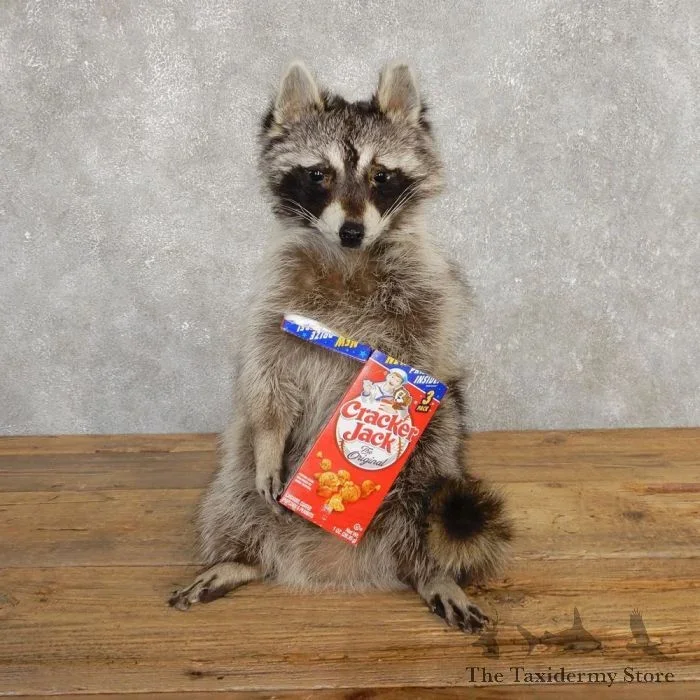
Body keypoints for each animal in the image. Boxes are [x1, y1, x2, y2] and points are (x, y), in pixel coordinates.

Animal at [169, 62, 513, 633]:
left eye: (381, 175)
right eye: (318, 174)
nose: (352, 230)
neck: (349, 257)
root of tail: (337, 568)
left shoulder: (428, 289)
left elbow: (432, 359)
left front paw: (401, 404)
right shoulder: (277, 295)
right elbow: (266, 370)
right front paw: (270, 432)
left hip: (438, 463)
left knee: (429, 507)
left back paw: (431, 574)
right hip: (237, 476)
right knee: (233, 495)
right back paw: (239, 558)